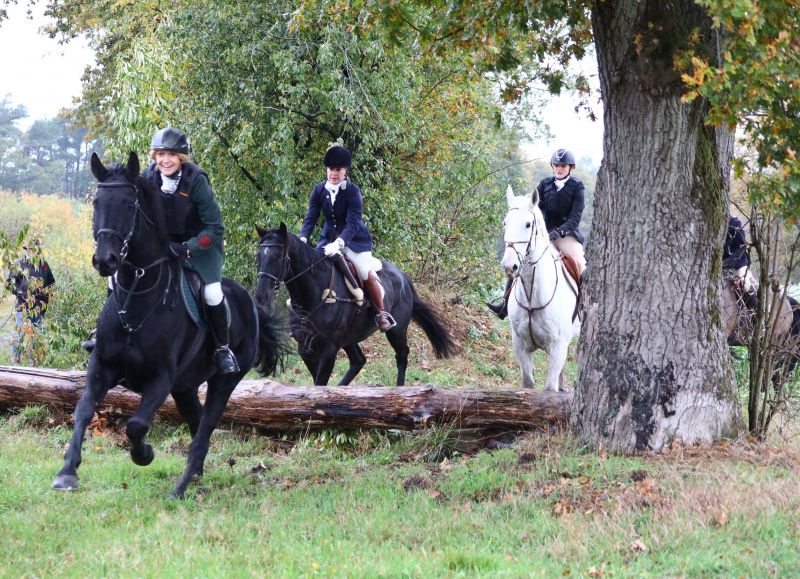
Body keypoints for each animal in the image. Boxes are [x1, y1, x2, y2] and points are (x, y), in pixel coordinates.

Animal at [51, 152, 287, 499]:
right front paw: (67, 472)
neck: (138, 296)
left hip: (223, 381)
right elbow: (83, 409)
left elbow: (136, 425)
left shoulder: (160, 378)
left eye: (130, 204)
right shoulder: (102, 365)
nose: (105, 261)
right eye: (97, 202)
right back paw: (196, 474)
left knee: (205, 428)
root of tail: (251, 304)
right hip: (185, 387)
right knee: (197, 422)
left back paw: (180, 488)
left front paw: (144, 454)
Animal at [254, 223, 455, 386]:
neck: (312, 296)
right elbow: (316, 381)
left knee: (402, 356)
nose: (260, 296)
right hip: (350, 337)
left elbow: (320, 382)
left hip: (396, 330)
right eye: (258, 257)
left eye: (279, 258)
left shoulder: (330, 346)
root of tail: (403, 277)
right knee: (359, 361)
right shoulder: (304, 346)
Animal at [501, 185, 580, 391]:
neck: (533, 296)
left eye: (528, 224)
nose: (509, 266)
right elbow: (528, 385)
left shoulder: (557, 347)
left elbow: (549, 389)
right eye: (505, 223)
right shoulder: (520, 345)